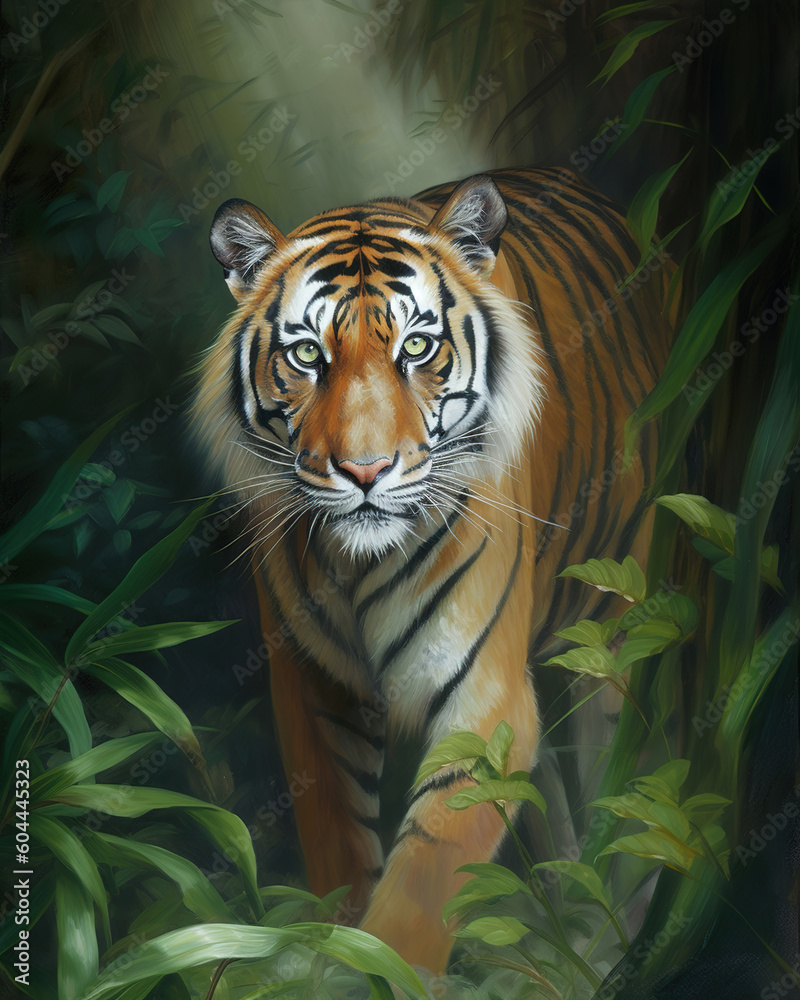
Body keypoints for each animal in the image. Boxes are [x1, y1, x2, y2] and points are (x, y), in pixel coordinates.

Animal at [190, 167, 674, 975]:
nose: (363, 471)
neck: (354, 566)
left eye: (417, 347)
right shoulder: (310, 687)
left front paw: (378, 967)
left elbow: (425, 880)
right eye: (307, 356)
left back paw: (608, 923)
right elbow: (339, 846)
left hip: (613, 621)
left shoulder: (481, 697)